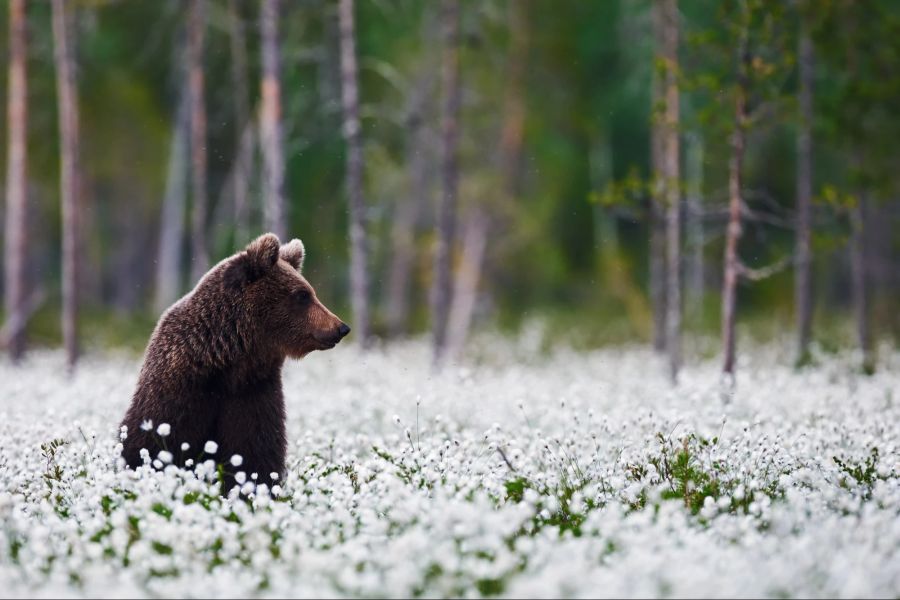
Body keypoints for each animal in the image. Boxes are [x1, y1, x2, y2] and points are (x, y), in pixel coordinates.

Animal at [123, 232, 352, 490]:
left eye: (310, 292)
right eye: (302, 295)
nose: (341, 327)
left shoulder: (254, 393)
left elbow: (255, 454)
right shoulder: (180, 390)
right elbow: (154, 441)